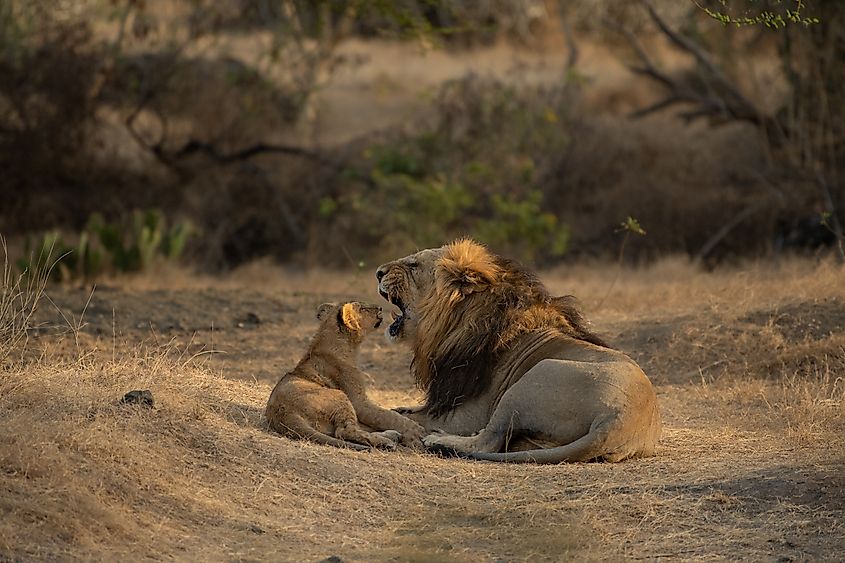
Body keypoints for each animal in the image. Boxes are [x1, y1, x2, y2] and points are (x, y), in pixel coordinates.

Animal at [265, 301, 426, 450]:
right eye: (363, 308)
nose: (380, 307)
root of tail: (282, 414)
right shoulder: (359, 402)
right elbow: (389, 416)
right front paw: (416, 431)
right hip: (340, 395)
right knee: (344, 431)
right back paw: (386, 441)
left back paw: (391, 435)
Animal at [376, 239, 661, 463]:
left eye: (414, 265)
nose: (378, 272)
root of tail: (617, 420)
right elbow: (403, 410)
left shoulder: (464, 417)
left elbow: (404, 417)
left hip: (532, 377)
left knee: (488, 440)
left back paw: (440, 441)